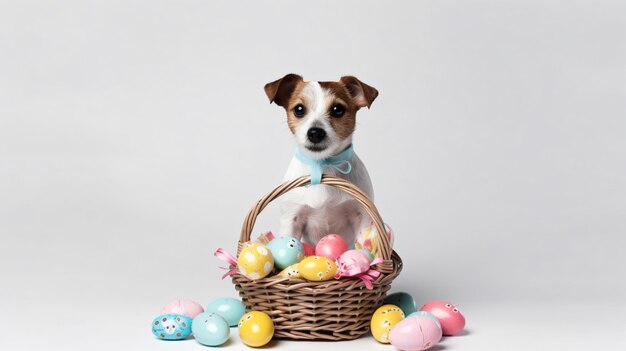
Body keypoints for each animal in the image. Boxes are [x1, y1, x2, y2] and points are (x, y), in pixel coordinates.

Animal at [262, 73, 378, 245]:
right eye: (299, 109)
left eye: (337, 109)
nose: (315, 132)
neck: (322, 165)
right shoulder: (291, 218)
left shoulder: (362, 216)